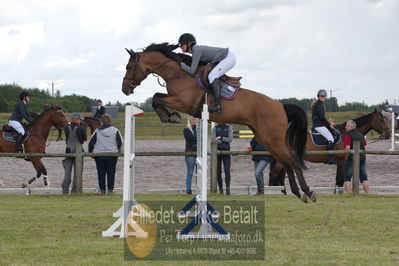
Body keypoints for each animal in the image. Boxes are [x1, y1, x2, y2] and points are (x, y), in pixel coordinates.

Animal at [122, 42, 316, 203]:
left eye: (129, 67)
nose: (124, 90)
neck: (179, 75)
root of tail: (280, 105)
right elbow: (157, 97)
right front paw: (169, 116)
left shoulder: (183, 102)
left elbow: (156, 98)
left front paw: (169, 116)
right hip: (266, 138)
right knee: (286, 162)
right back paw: (299, 193)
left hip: (272, 138)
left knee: (291, 160)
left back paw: (308, 192)